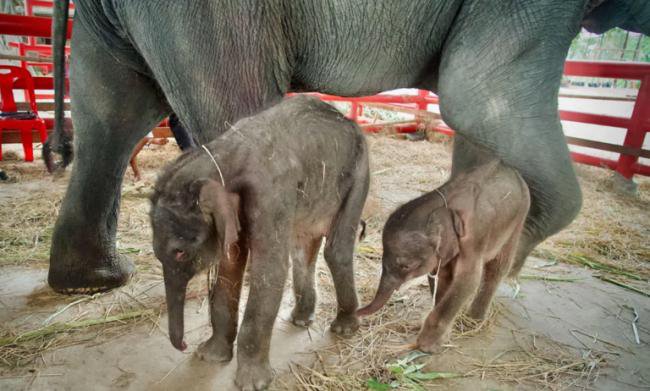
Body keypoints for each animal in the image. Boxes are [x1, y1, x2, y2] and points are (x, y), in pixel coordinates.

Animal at [149, 95, 368, 391]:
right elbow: (229, 268)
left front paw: (252, 384)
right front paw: (209, 356)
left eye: (180, 253)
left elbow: (269, 271)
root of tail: (347, 120)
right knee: (302, 248)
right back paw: (301, 319)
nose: (183, 346)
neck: (221, 156)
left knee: (336, 249)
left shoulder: (271, 194)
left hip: (359, 173)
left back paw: (344, 328)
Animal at [356, 159, 528, 352]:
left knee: (498, 267)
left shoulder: (474, 240)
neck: (446, 204)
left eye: (406, 266)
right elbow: (444, 277)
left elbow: (467, 281)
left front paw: (426, 347)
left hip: (519, 218)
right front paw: (441, 338)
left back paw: (474, 320)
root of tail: (510, 168)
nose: (355, 314)